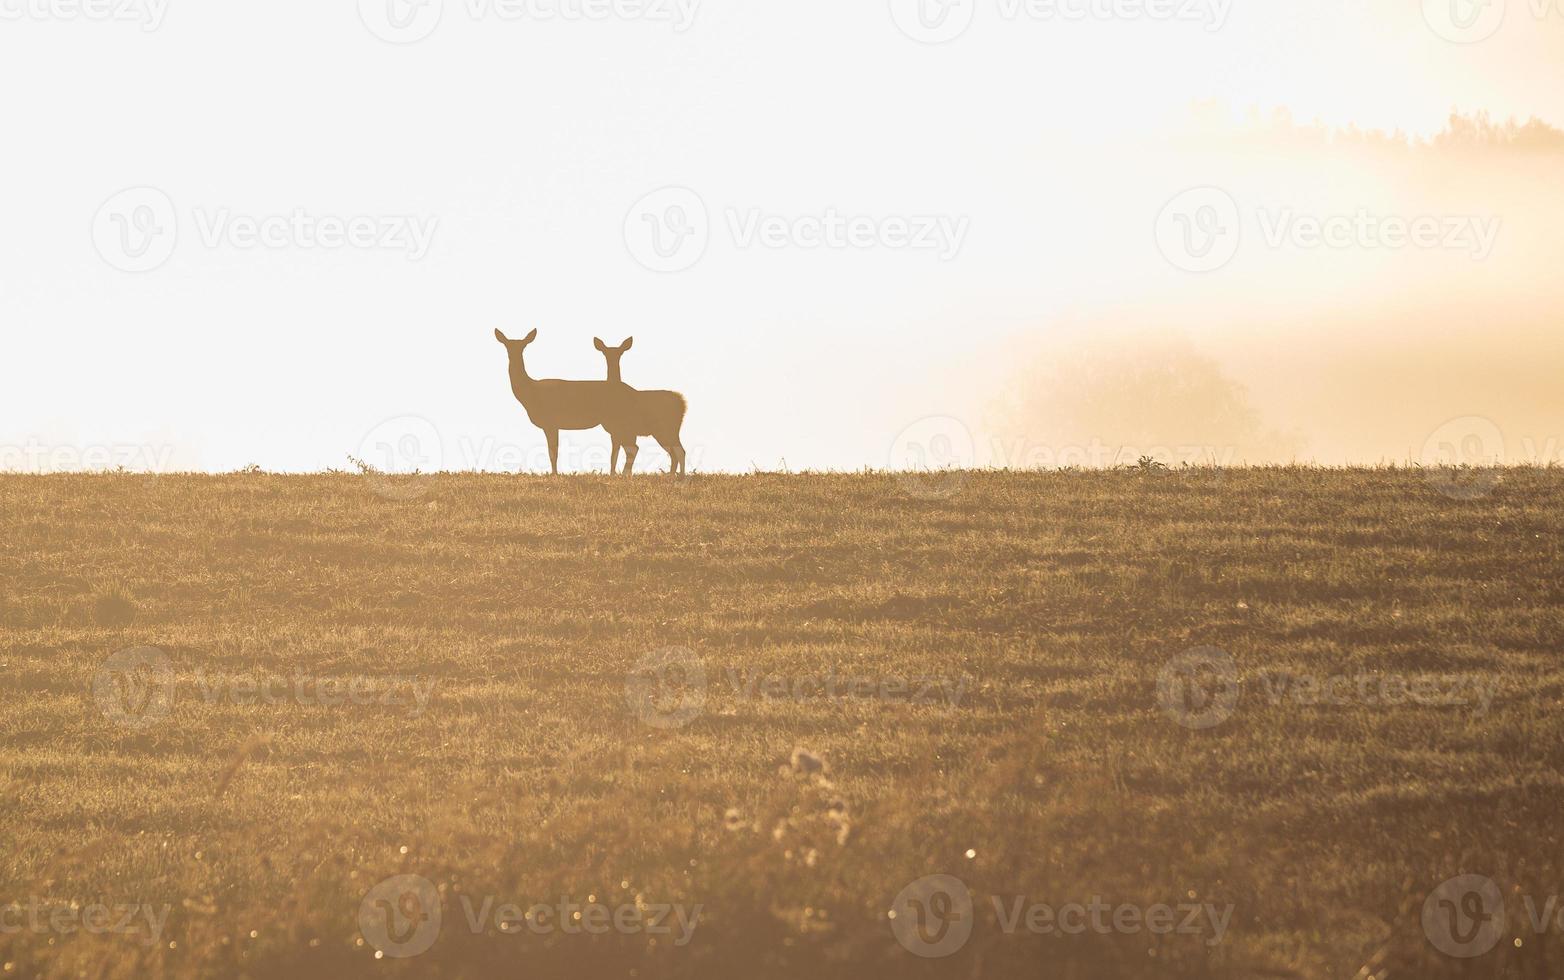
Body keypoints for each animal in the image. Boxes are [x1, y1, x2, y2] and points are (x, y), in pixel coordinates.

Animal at [494, 328, 628, 478]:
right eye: (507, 346)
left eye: (523, 347)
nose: (512, 355)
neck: (531, 394)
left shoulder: (550, 422)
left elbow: (553, 451)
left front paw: (554, 474)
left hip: (614, 418)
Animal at [594, 336, 688, 478]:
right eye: (605, 353)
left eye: (620, 353)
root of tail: (682, 403)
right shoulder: (615, 432)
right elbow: (613, 455)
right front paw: (614, 474)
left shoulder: (625, 430)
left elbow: (628, 451)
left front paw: (623, 475)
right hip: (668, 430)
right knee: (675, 452)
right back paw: (673, 475)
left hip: (665, 429)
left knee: (679, 451)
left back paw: (678, 476)